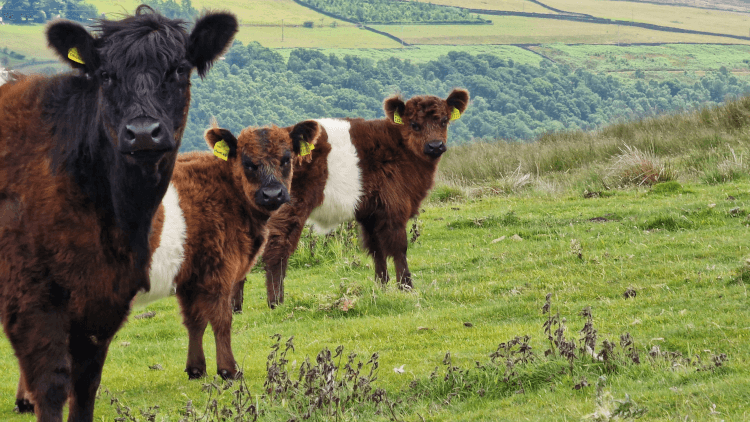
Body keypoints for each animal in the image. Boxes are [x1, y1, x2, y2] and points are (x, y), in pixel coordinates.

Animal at [0, 6, 238, 422]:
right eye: (106, 75)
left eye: (179, 69)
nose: (142, 132)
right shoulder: (29, 298)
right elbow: (51, 385)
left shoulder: (104, 300)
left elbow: (85, 387)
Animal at [134, 118, 322, 380]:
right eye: (248, 162)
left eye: (286, 159)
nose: (272, 194)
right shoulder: (219, 270)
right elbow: (222, 319)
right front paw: (229, 369)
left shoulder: (189, 276)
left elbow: (195, 321)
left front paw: (196, 369)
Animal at [232, 89, 472, 310]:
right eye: (414, 124)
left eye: (444, 120)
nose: (435, 146)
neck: (400, 147)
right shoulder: (394, 208)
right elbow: (398, 247)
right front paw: (406, 287)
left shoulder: (371, 212)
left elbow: (376, 249)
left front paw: (381, 287)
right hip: (285, 210)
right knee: (277, 250)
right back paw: (276, 303)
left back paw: (237, 307)